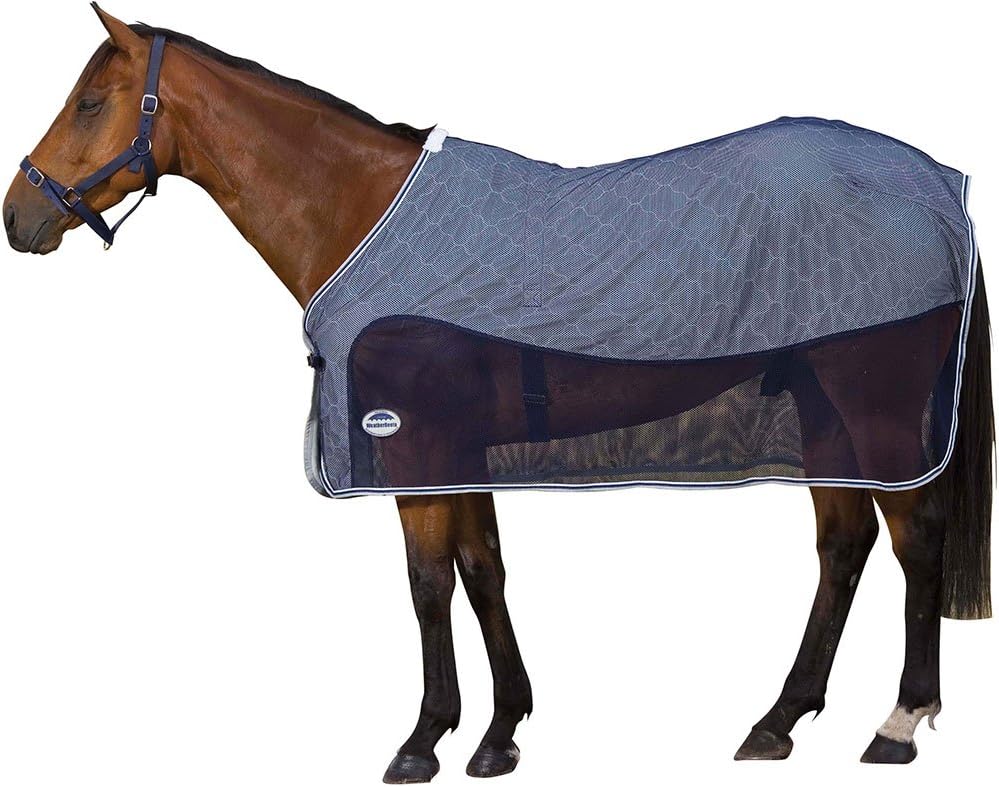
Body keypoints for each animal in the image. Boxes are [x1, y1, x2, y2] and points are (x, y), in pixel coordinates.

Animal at [4, 6, 992, 781]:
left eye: (89, 102)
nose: (19, 215)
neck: (363, 213)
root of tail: (937, 189)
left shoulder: (410, 442)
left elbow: (427, 582)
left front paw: (421, 740)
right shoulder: (459, 446)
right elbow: (483, 569)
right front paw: (499, 732)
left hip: (871, 404)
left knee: (914, 541)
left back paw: (897, 724)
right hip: (818, 403)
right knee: (843, 545)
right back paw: (776, 720)